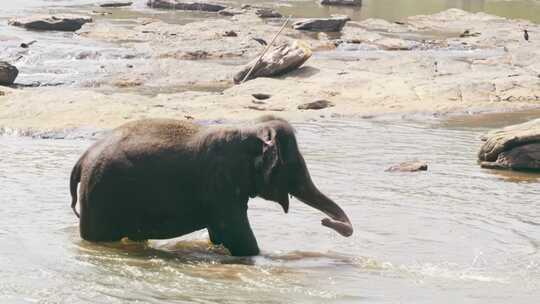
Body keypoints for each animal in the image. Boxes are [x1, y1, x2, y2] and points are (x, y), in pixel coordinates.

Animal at [69, 115, 352, 255]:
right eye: (293, 164)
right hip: (99, 198)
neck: (248, 130)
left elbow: (219, 235)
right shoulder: (220, 184)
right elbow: (237, 236)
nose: (325, 221)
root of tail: (82, 159)